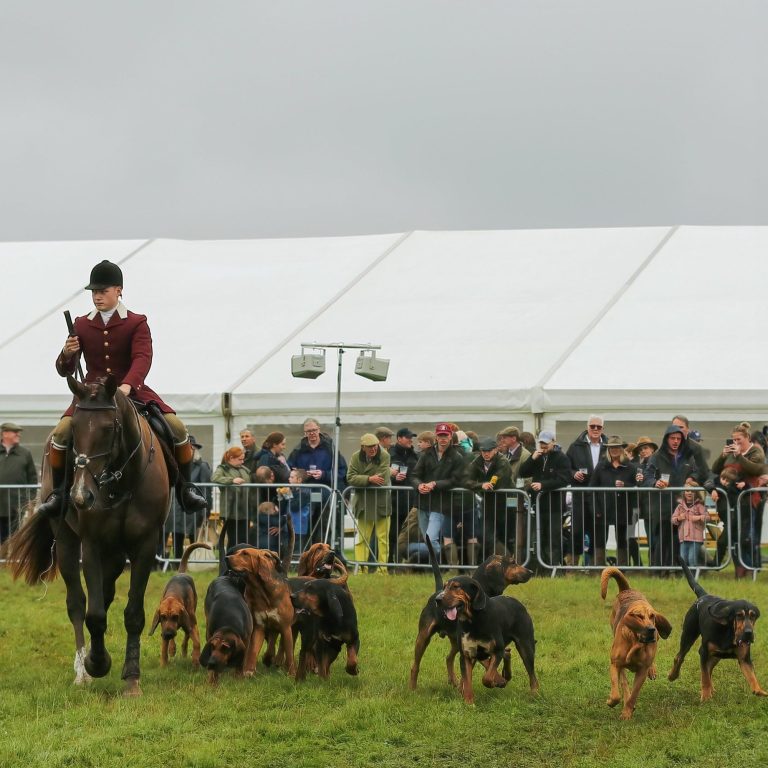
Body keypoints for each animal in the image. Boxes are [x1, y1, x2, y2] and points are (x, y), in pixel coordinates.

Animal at [9, 376, 168, 696]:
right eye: (76, 429)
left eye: (108, 428)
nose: (81, 496)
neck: (121, 482)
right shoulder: (91, 544)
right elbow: (93, 613)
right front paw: (96, 663)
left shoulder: (146, 545)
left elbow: (133, 613)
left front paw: (132, 678)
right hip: (67, 542)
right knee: (78, 603)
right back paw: (82, 669)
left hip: (116, 554)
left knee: (104, 594)